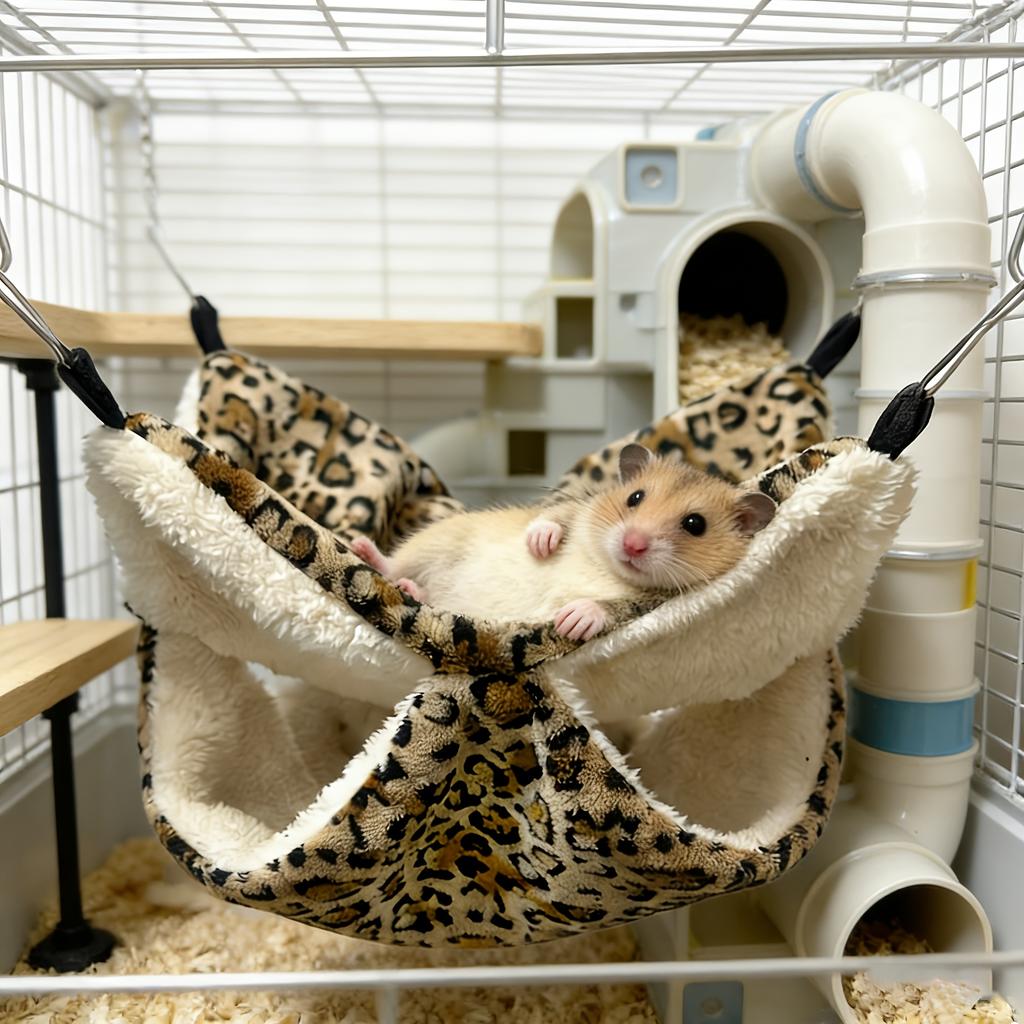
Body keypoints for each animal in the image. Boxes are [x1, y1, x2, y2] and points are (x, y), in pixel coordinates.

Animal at [350, 444, 776, 641]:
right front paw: (542, 543)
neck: (609, 568)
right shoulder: (579, 511)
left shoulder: (651, 606)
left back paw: (410, 589)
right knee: (393, 564)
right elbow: (557, 516)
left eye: (695, 524)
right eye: (634, 497)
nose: (633, 545)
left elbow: (611, 607)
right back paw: (362, 549)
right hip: (434, 541)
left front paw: (572, 620)